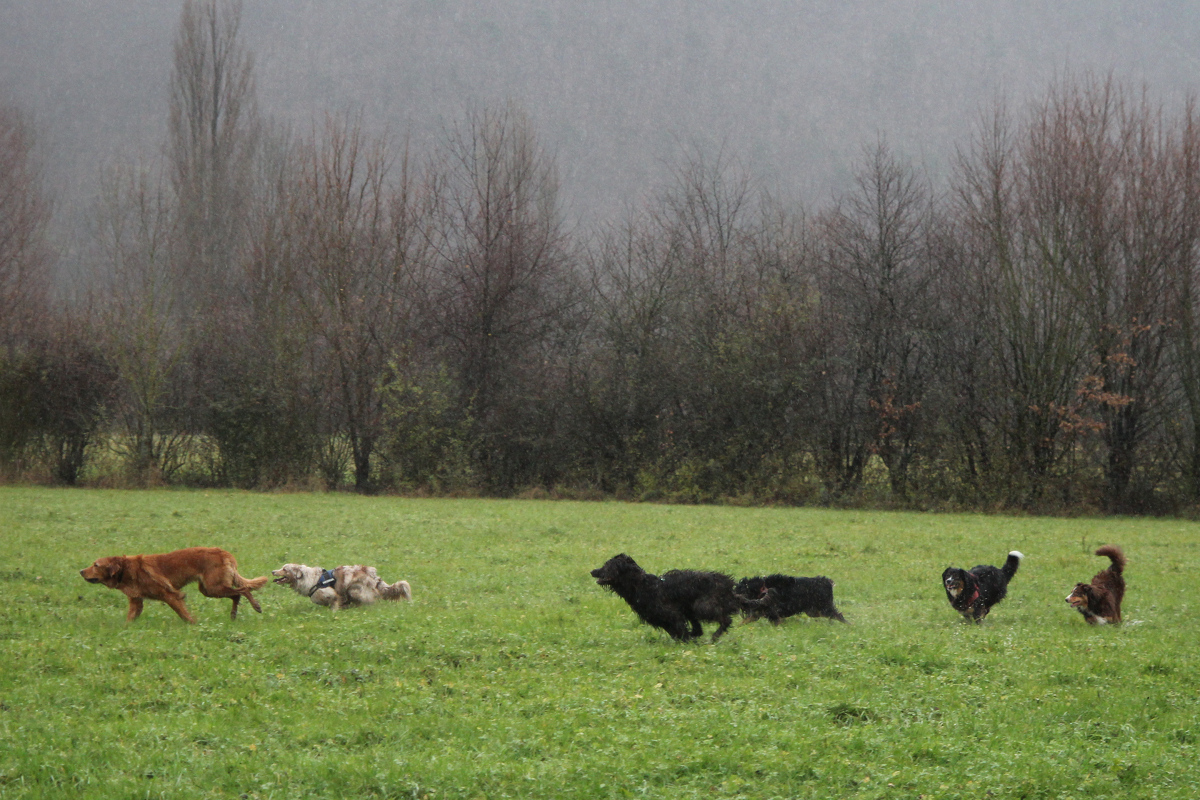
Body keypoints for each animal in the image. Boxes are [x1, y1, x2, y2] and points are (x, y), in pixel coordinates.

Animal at [80, 547, 268, 623]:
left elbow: (184, 614)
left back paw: (256, 606)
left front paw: (193, 624)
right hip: (208, 589)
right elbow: (129, 619)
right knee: (236, 594)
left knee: (243, 589)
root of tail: (224, 553)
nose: (81, 571)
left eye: (96, 565)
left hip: (214, 587)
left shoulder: (170, 595)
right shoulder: (136, 601)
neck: (125, 569)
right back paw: (233, 615)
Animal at [271, 563, 411, 610]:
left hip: (356, 591)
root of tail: (374, 576)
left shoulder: (332, 594)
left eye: (284, 569)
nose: (273, 571)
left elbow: (334, 604)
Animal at [590, 553, 763, 643]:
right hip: (692, 608)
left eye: (607, 566)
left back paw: (714, 635)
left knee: (725, 620)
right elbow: (678, 631)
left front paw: (687, 641)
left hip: (702, 605)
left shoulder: (671, 613)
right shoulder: (664, 617)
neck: (641, 585)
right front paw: (688, 639)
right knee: (701, 627)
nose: (593, 571)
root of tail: (728, 586)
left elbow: (679, 629)